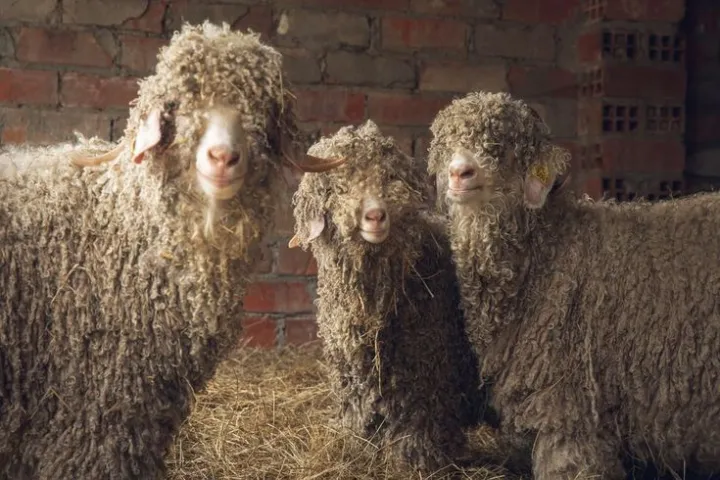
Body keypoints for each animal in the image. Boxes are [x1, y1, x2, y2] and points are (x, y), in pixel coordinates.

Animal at [288, 119, 486, 473]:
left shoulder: (424, 383)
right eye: (339, 186)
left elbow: (418, 435)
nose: (376, 216)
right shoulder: (353, 384)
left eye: (390, 177)